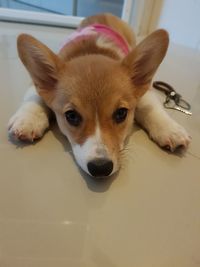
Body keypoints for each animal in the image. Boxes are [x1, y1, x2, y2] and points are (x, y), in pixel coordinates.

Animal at [7, 13, 191, 179]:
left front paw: (170, 130)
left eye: (121, 113)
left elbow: (150, 107)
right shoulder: (35, 84)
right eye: (71, 116)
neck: (91, 51)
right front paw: (28, 120)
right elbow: (35, 98)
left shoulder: (145, 91)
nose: (100, 168)